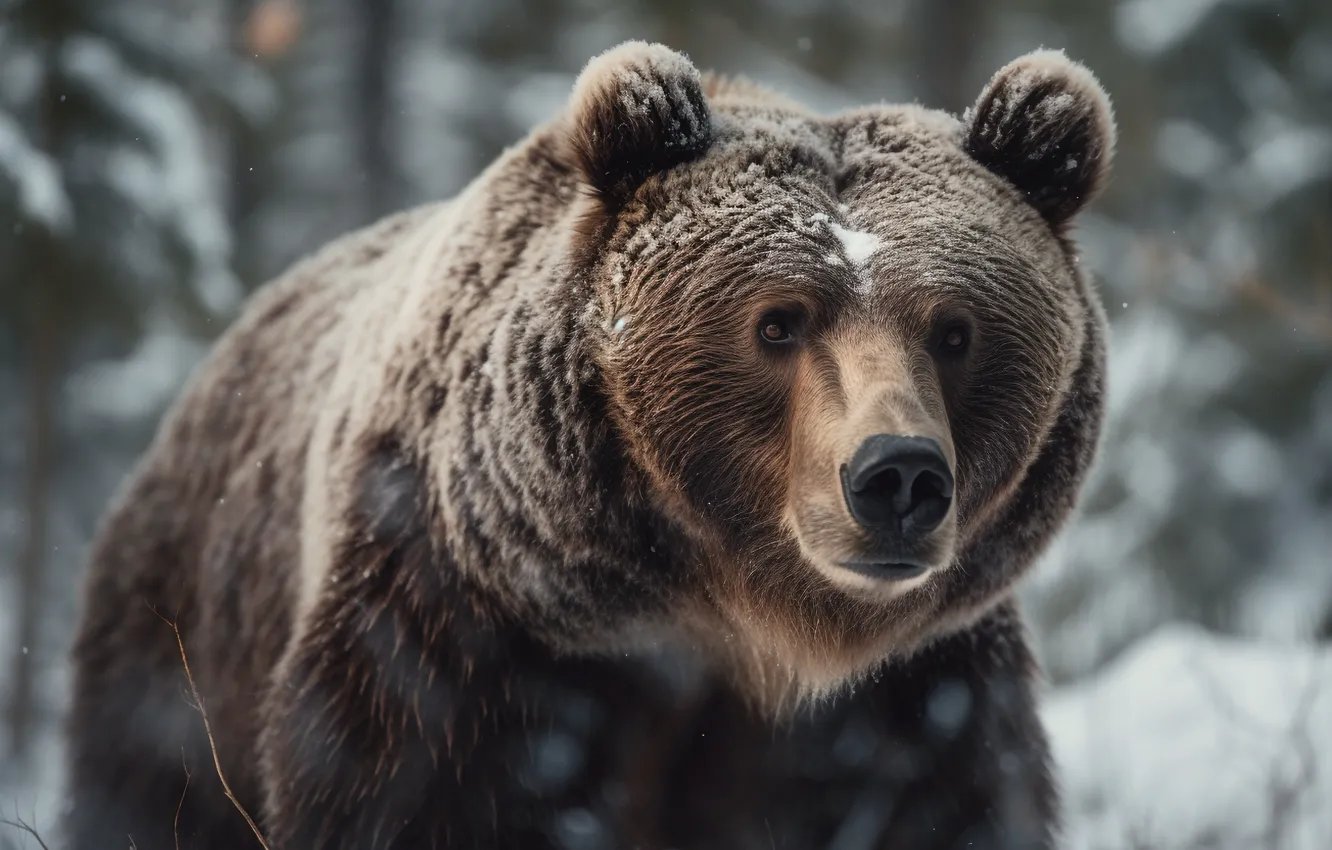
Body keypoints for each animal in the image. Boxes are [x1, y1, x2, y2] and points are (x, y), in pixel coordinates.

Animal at [63, 41, 1114, 850]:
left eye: (955, 330)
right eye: (778, 323)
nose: (895, 475)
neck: (740, 627)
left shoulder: (915, 697)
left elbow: (941, 804)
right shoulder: (462, 634)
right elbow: (409, 794)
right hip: (185, 640)